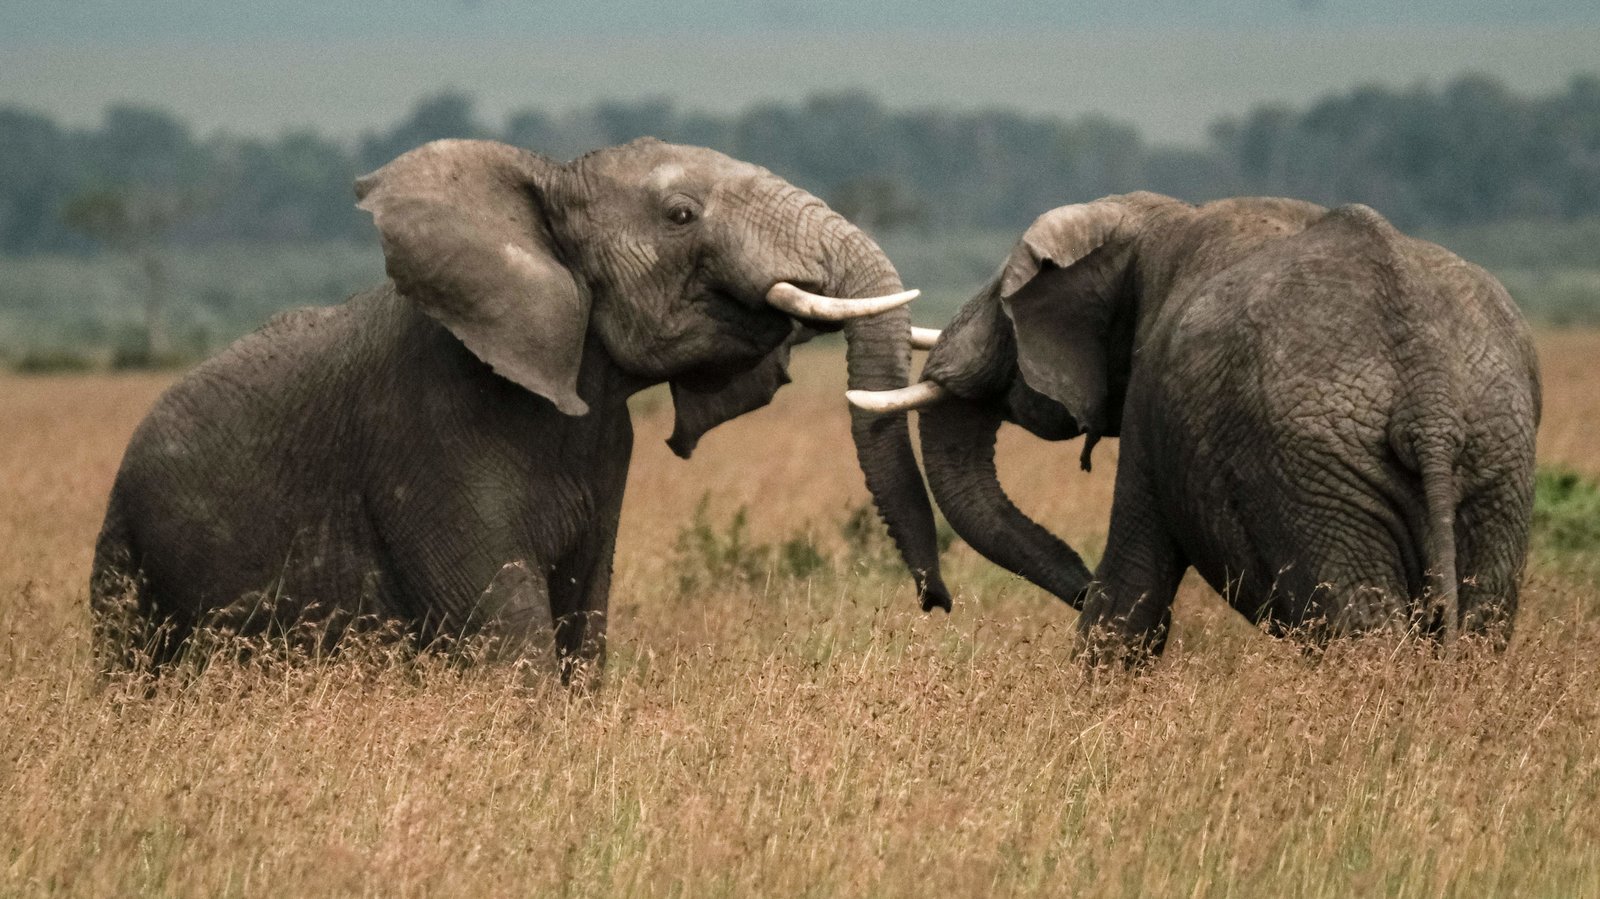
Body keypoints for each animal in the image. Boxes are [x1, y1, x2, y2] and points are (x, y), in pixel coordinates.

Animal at [93, 136, 947, 675]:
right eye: (680, 215)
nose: (935, 600)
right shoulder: (428, 440)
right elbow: (511, 650)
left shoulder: (605, 445)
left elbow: (583, 624)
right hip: (126, 545)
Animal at [857, 192, 1542, 655]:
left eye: (1006, 304)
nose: (937, 604)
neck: (1152, 217)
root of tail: (1429, 400)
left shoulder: (1150, 399)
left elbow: (1131, 590)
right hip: (1496, 458)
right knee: (1480, 621)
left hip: (1316, 471)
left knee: (1360, 625)